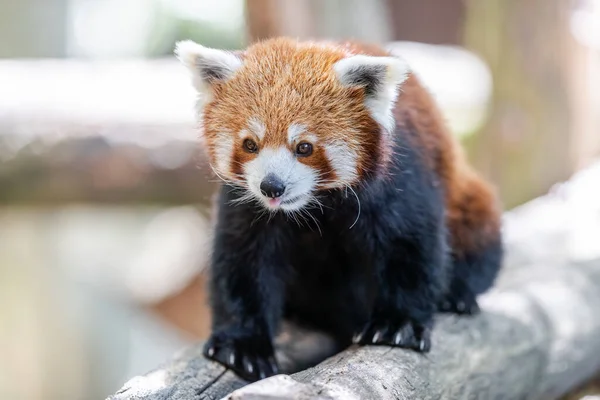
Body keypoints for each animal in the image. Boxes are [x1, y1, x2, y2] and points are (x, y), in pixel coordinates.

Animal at [176, 39, 504, 382]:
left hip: (468, 199)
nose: (272, 186)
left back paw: (458, 295)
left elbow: (412, 247)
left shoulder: (401, 179)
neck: (314, 206)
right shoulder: (247, 206)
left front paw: (397, 324)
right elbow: (242, 264)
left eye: (304, 147)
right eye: (250, 144)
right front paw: (242, 345)